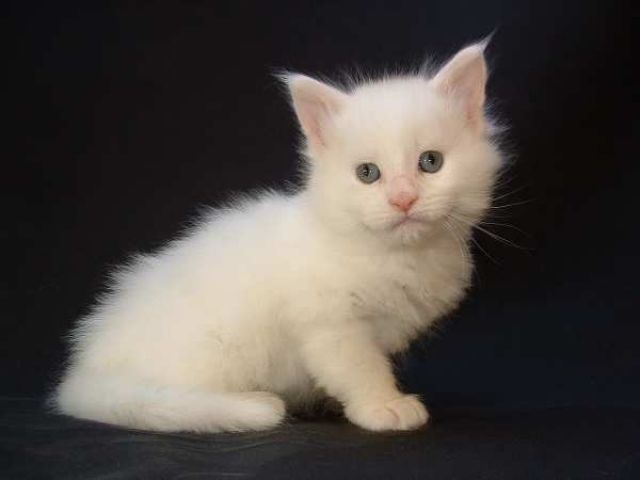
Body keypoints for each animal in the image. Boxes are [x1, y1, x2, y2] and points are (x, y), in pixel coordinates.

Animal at [53, 43, 504, 434]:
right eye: (367, 173)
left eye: (430, 162)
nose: (403, 199)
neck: (395, 254)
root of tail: (83, 376)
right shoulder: (329, 324)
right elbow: (360, 368)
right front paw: (383, 406)